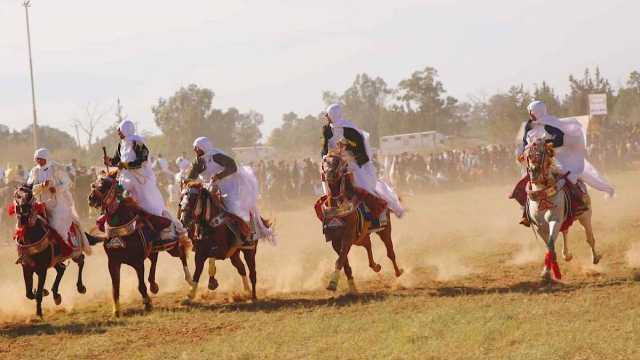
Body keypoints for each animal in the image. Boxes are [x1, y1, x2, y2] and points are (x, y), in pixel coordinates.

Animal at [11, 186, 87, 318]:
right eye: (17, 195)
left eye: (29, 194)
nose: (24, 209)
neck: (30, 235)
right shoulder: (26, 267)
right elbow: (29, 293)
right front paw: (44, 292)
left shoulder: (42, 269)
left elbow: (37, 292)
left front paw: (39, 312)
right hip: (54, 260)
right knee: (61, 269)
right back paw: (56, 295)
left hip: (74, 252)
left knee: (80, 261)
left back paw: (80, 287)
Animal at [89, 173, 191, 316]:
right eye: (94, 183)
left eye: (104, 185)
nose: (91, 198)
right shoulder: (113, 262)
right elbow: (115, 287)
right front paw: (116, 310)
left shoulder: (137, 262)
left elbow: (141, 285)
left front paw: (147, 303)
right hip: (153, 249)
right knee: (154, 260)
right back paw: (154, 285)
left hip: (172, 247)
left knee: (181, 254)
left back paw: (189, 279)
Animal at [318, 150, 402, 294]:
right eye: (325, 161)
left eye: (337, 161)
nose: (329, 173)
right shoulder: (335, 240)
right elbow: (344, 262)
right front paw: (352, 287)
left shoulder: (348, 236)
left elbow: (340, 260)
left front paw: (332, 283)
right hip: (360, 237)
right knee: (368, 245)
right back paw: (375, 266)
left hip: (384, 230)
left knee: (390, 251)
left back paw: (398, 272)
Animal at [524, 140, 604, 282]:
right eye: (528, 156)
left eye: (542, 153)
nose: (534, 171)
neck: (543, 196)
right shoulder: (539, 227)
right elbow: (549, 246)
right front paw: (547, 272)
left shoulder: (555, 221)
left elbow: (551, 243)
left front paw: (549, 272)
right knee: (565, 231)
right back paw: (567, 255)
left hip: (585, 217)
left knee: (589, 238)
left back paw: (595, 257)